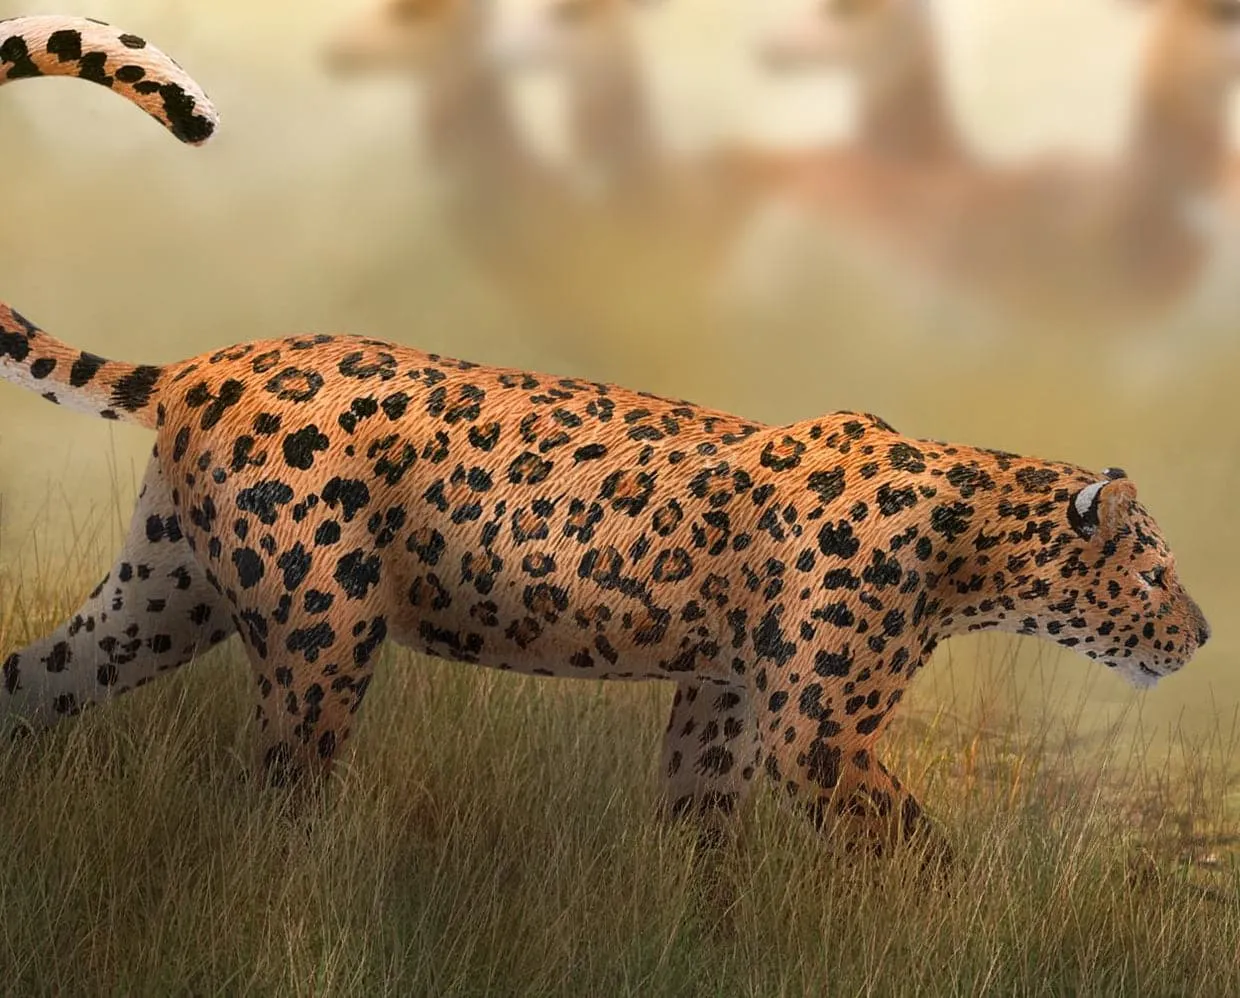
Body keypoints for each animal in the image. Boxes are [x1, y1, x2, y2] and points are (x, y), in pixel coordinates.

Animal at [0, 13, 1210, 866]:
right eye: (1154, 573)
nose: (1199, 636)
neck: (974, 540)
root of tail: (205, 365)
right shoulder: (820, 731)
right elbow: (915, 852)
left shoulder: (725, 698)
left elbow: (702, 831)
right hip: (319, 629)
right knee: (278, 787)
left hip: (160, 597)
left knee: (28, 680)